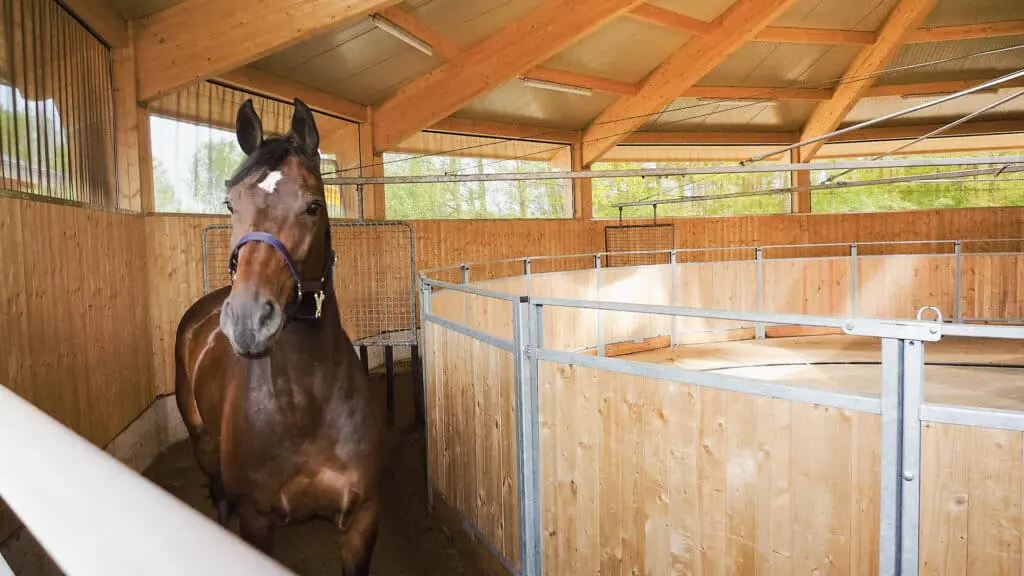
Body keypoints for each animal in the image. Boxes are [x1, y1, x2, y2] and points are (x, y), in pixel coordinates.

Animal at [173, 97, 383, 575]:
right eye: (230, 204)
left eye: (313, 206)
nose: (248, 320)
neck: (305, 407)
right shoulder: (256, 521)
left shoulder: (361, 522)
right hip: (202, 443)